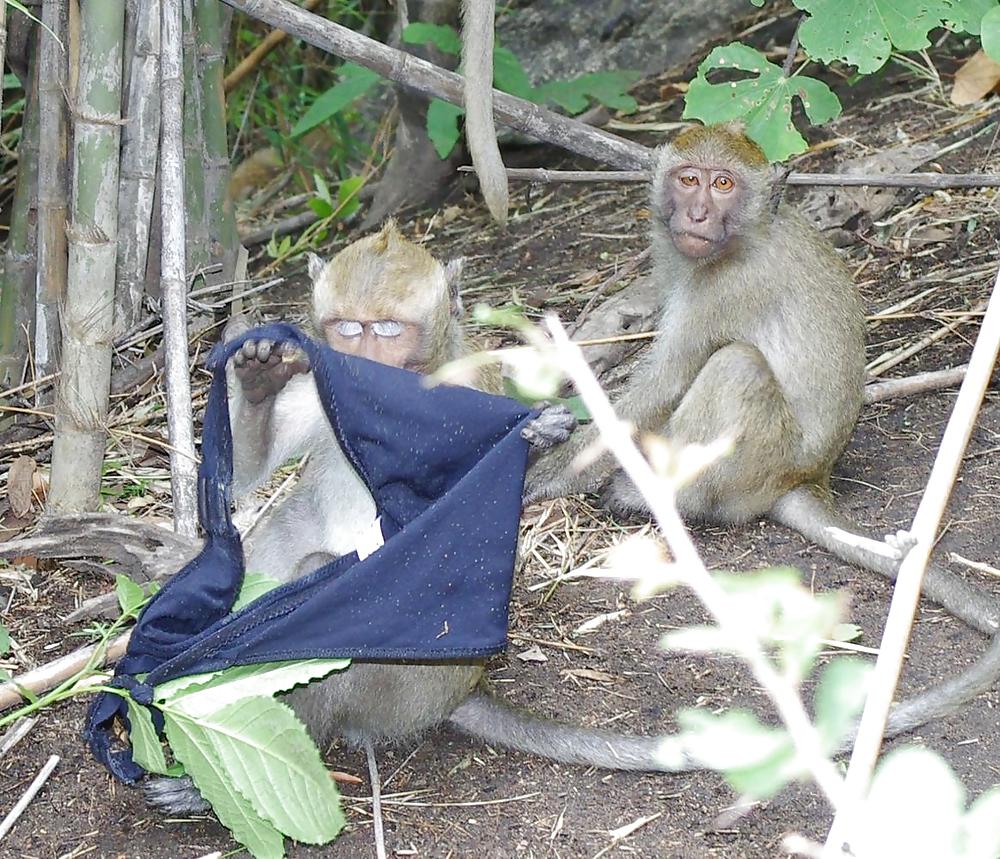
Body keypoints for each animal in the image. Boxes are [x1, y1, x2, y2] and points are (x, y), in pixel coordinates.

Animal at [523, 123, 1000, 736]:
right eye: (690, 179)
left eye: (723, 184)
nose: (698, 214)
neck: (746, 235)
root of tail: (805, 478)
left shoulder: (726, 286)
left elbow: (663, 382)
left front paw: (543, 475)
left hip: (756, 464)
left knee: (736, 367)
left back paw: (650, 496)